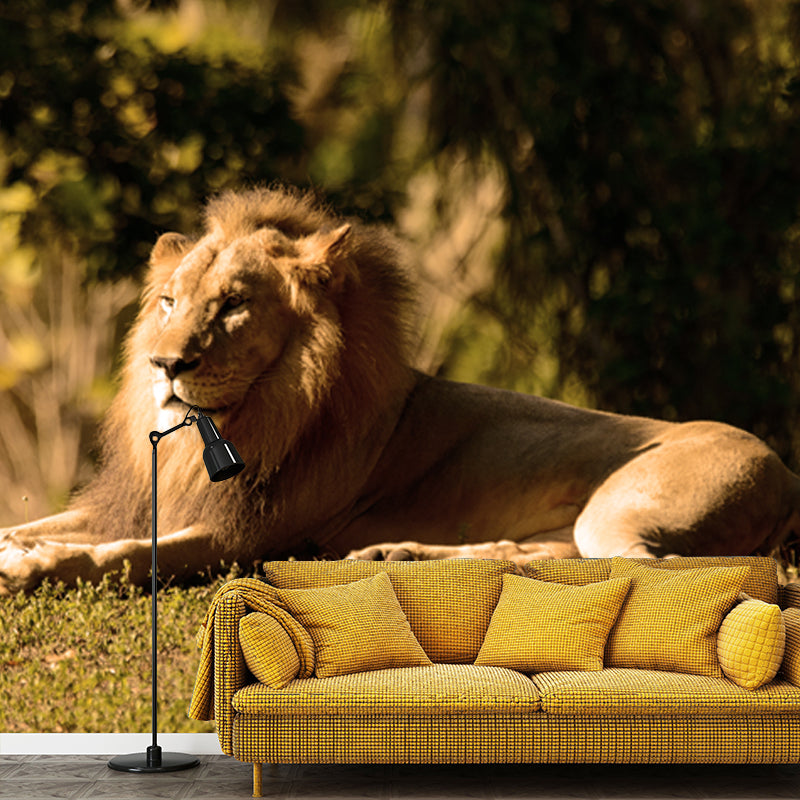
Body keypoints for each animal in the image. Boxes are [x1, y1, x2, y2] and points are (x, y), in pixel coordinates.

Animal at [1, 185, 799, 594]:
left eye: (231, 306)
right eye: (168, 301)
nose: (164, 364)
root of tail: (787, 472)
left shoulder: (248, 536)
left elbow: (126, 555)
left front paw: (35, 567)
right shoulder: (143, 501)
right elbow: (45, 524)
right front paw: (21, 543)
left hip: (623, 507)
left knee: (652, 570)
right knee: (547, 558)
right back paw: (395, 557)